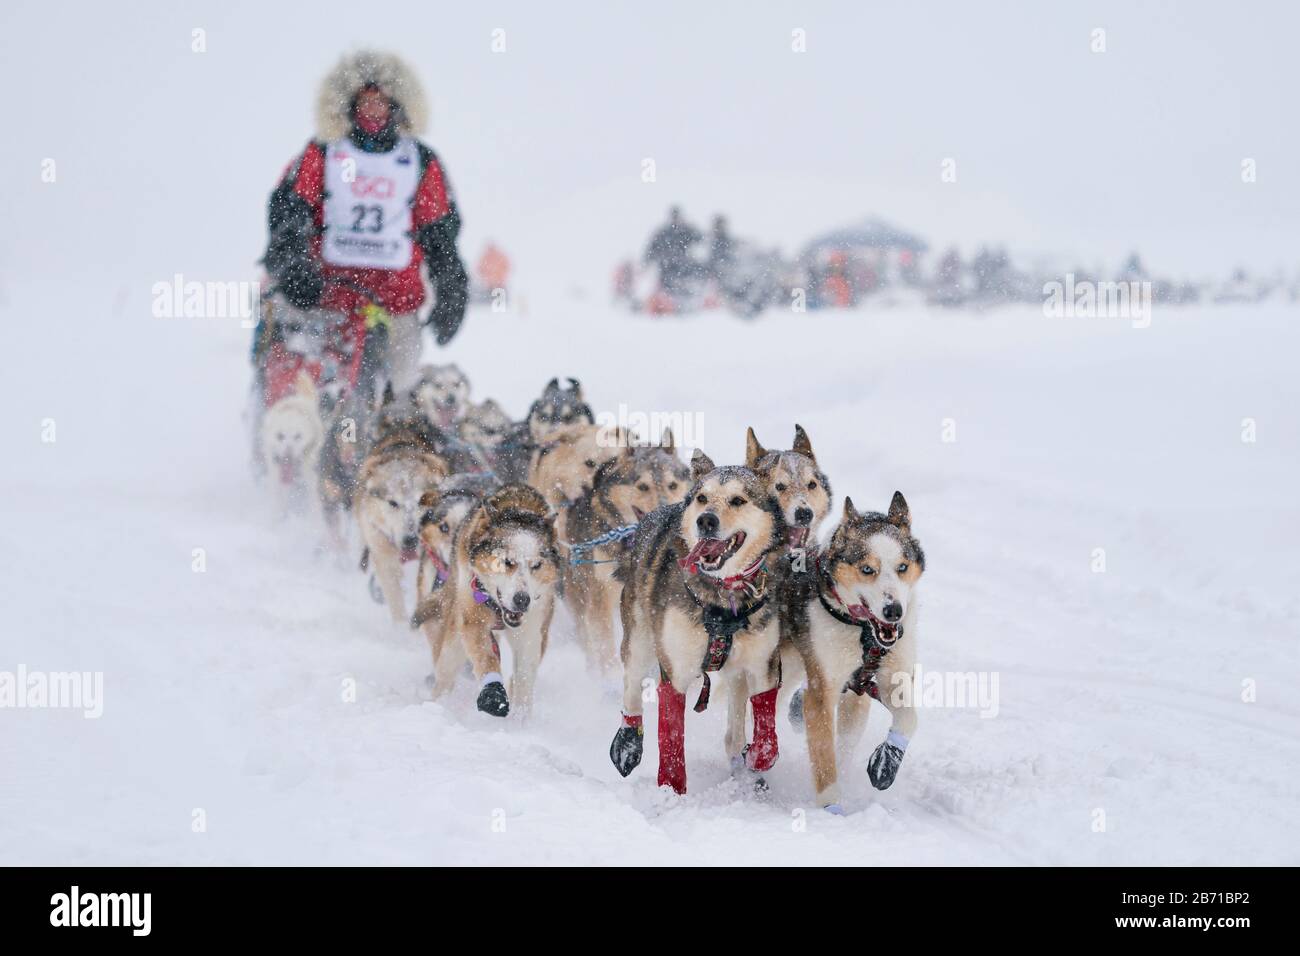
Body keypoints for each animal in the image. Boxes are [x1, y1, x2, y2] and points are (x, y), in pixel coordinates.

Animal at [428, 486, 561, 717]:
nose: (522, 600)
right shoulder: (474, 618)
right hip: (453, 642)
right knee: (445, 674)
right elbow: (487, 659)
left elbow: (524, 677)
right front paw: (493, 694)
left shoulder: (531, 631)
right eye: (507, 562)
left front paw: (521, 718)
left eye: (536, 565)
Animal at [605, 452, 780, 796]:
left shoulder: (763, 666)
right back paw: (627, 742)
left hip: (737, 674)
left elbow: (766, 729)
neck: (722, 600)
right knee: (632, 683)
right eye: (702, 498)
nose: (706, 520)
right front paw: (671, 793)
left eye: (738, 500)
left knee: (734, 728)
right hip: (639, 638)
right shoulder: (675, 671)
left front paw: (757, 755)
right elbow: (671, 738)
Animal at [780, 494, 925, 816]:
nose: (893, 610)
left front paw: (886, 762)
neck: (863, 632)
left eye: (902, 567)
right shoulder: (822, 689)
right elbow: (824, 757)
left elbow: (909, 718)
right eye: (867, 569)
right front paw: (831, 808)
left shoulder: (886, 680)